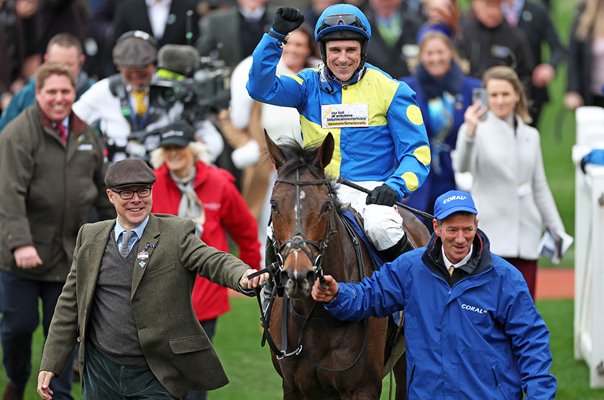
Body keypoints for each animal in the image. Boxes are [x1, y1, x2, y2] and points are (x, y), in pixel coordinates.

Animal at [264, 134, 430, 400]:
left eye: (325, 206)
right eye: (274, 205)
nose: (298, 275)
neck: (316, 317)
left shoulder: (362, 387)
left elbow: (416, 149)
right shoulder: (294, 388)